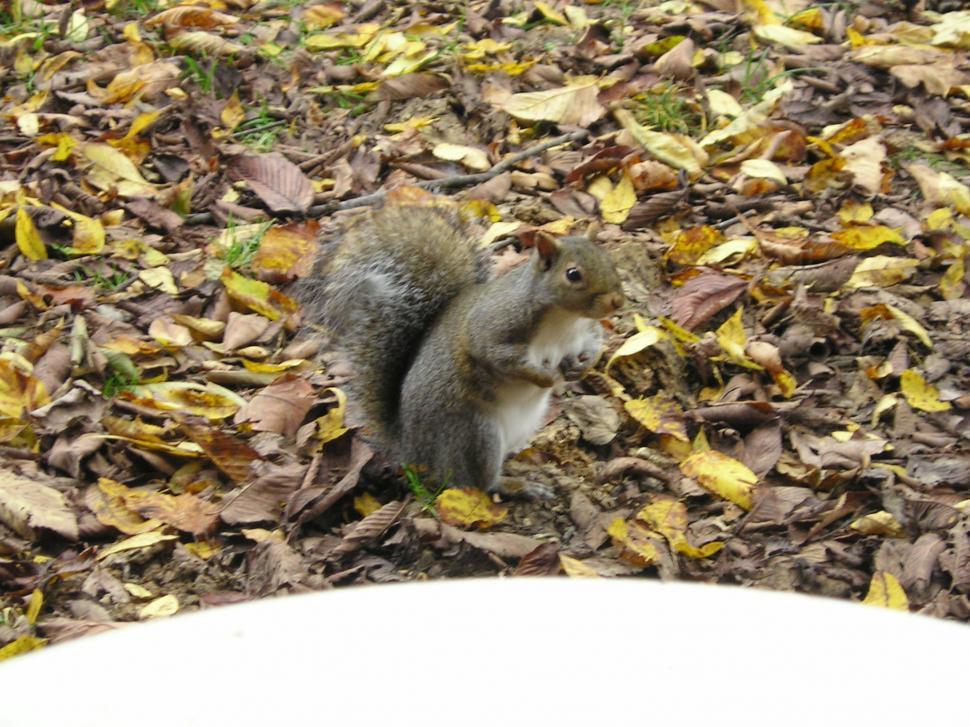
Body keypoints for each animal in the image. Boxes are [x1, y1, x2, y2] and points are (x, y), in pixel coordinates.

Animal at [301, 193, 625, 498]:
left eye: (610, 260)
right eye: (573, 274)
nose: (617, 302)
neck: (564, 321)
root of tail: (413, 450)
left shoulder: (584, 332)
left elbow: (594, 344)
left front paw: (581, 368)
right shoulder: (494, 327)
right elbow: (498, 356)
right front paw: (545, 377)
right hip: (475, 435)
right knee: (479, 483)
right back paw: (519, 486)